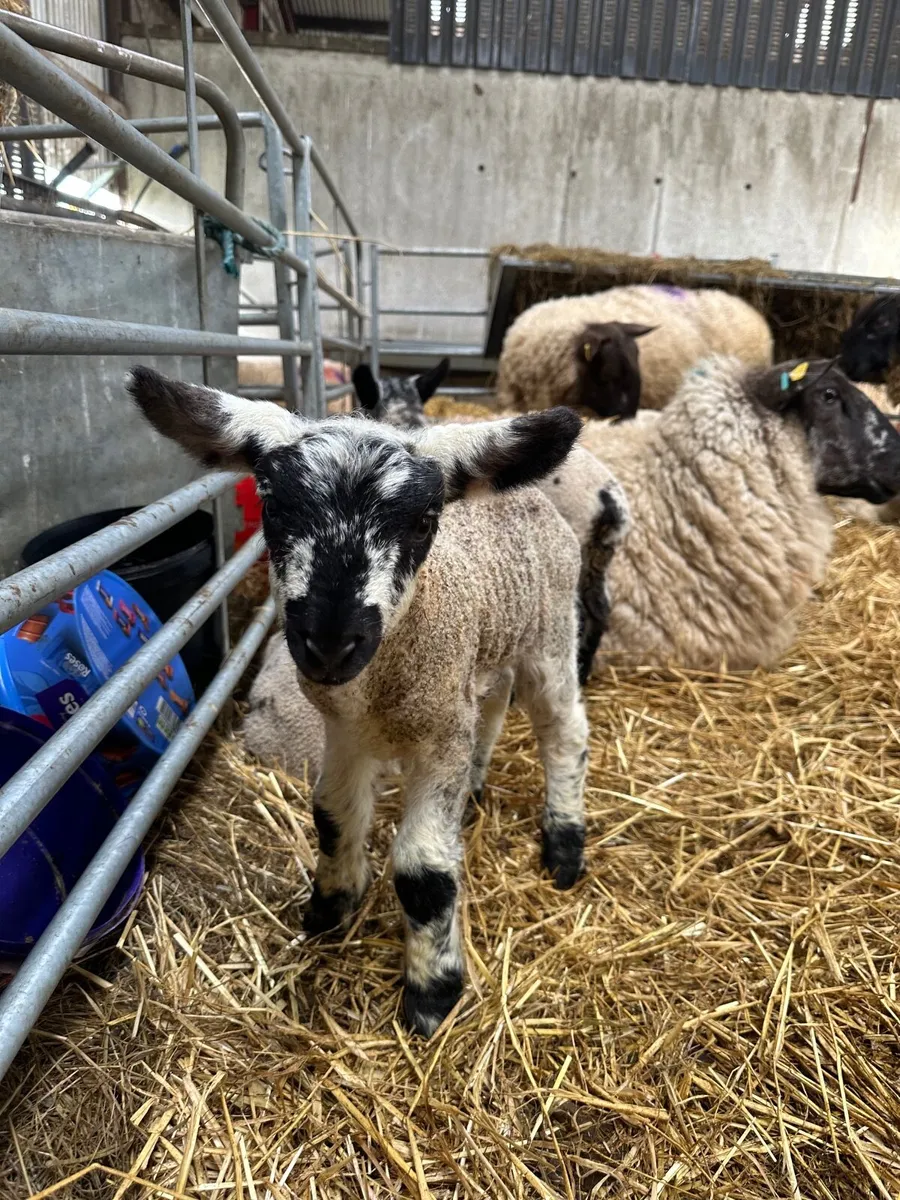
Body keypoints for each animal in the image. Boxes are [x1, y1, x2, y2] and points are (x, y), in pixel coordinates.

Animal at [128, 366, 589, 1037]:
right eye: (272, 506)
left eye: (423, 521)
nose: (328, 641)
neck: (380, 687)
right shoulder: (346, 731)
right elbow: (333, 816)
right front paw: (330, 908)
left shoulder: (438, 738)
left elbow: (425, 872)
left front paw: (431, 995)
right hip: (486, 648)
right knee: (493, 703)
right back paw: (478, 787)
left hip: (549, 634)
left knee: (564, 730)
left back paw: (564, 844)